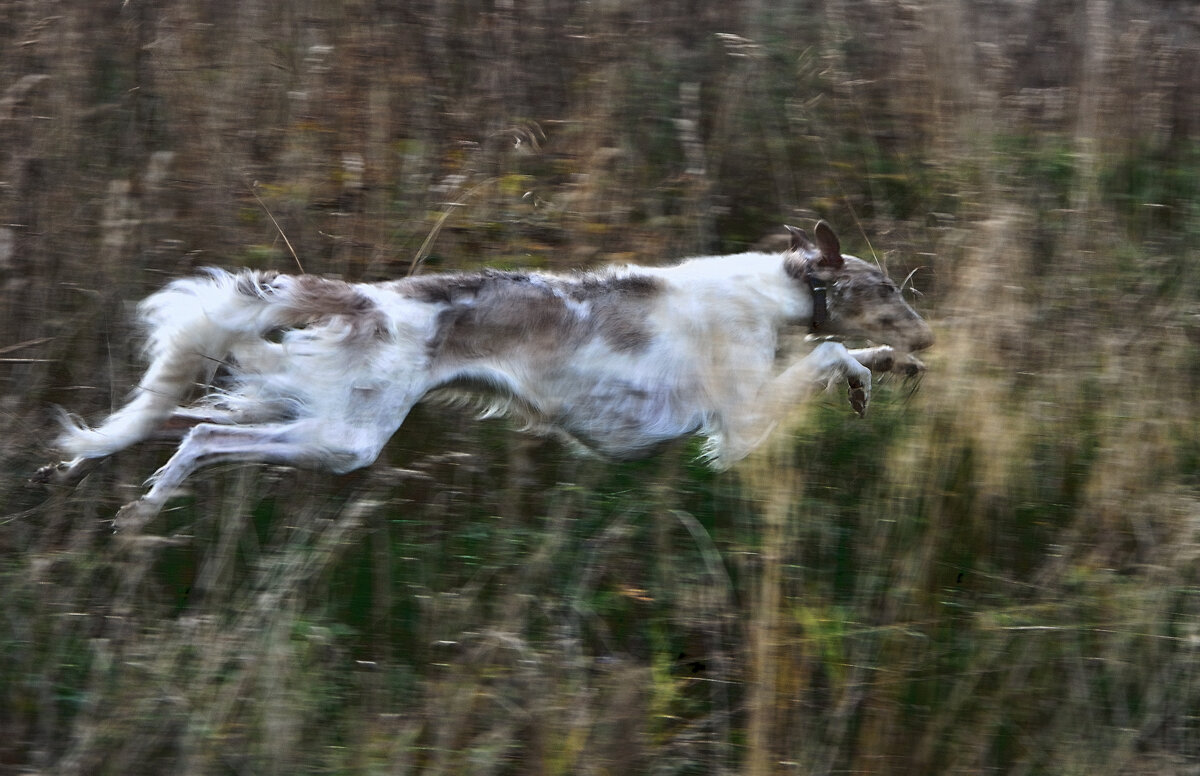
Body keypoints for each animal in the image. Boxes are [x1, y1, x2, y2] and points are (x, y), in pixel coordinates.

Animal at [37, 220, 931, 522]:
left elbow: (836, 353)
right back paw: (147, 503)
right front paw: (868, 370)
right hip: (343, 437)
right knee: (201, 439)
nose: (929, 336)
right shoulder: (742, 421)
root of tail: (367, 297)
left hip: (298, 405)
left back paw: (103, 481)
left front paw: (884, 367)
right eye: (886, 288)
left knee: (176, 420)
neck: (777, 287)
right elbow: (827, 352)